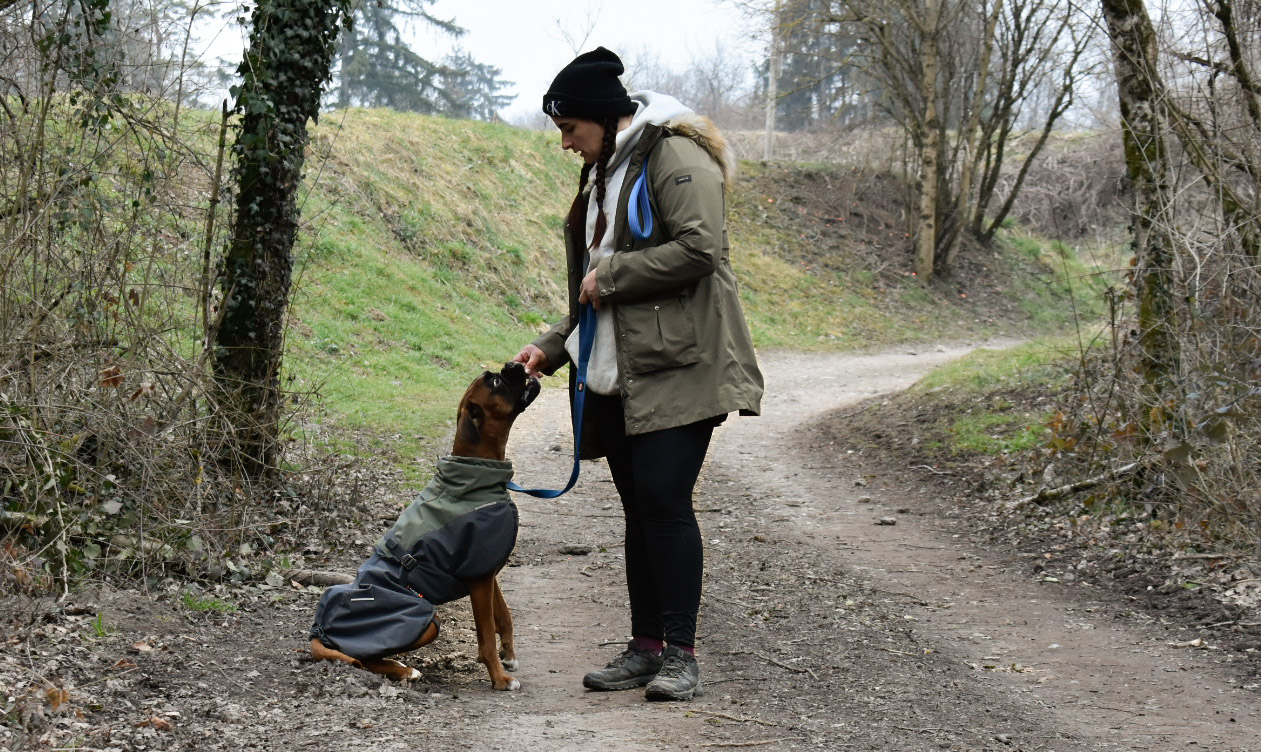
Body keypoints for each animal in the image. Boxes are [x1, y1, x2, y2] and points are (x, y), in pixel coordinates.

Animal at [309, 361, 540, 690]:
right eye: (496, 382)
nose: (515, 364)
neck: (475, 474)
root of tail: (319, 629)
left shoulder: (487, 570)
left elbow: (504, 616)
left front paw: (508, 655)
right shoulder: (479, 579)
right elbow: (484, 636)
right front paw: (499, 678)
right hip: (426, 619)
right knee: (361, 656)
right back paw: (403, 670)